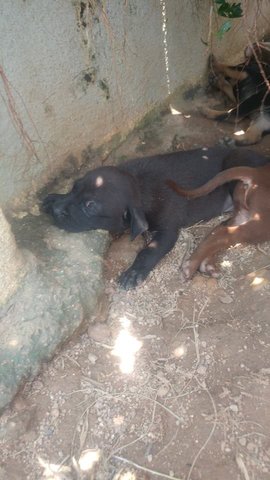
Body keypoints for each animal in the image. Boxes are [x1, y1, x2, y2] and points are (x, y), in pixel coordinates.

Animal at [42, 146, 268, 288]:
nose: (57, 210)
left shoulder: (168, 231)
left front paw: (134, 272)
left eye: (90, 206)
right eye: (74, 187)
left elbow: (149, 251)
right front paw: (53, 199)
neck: (139, 187)